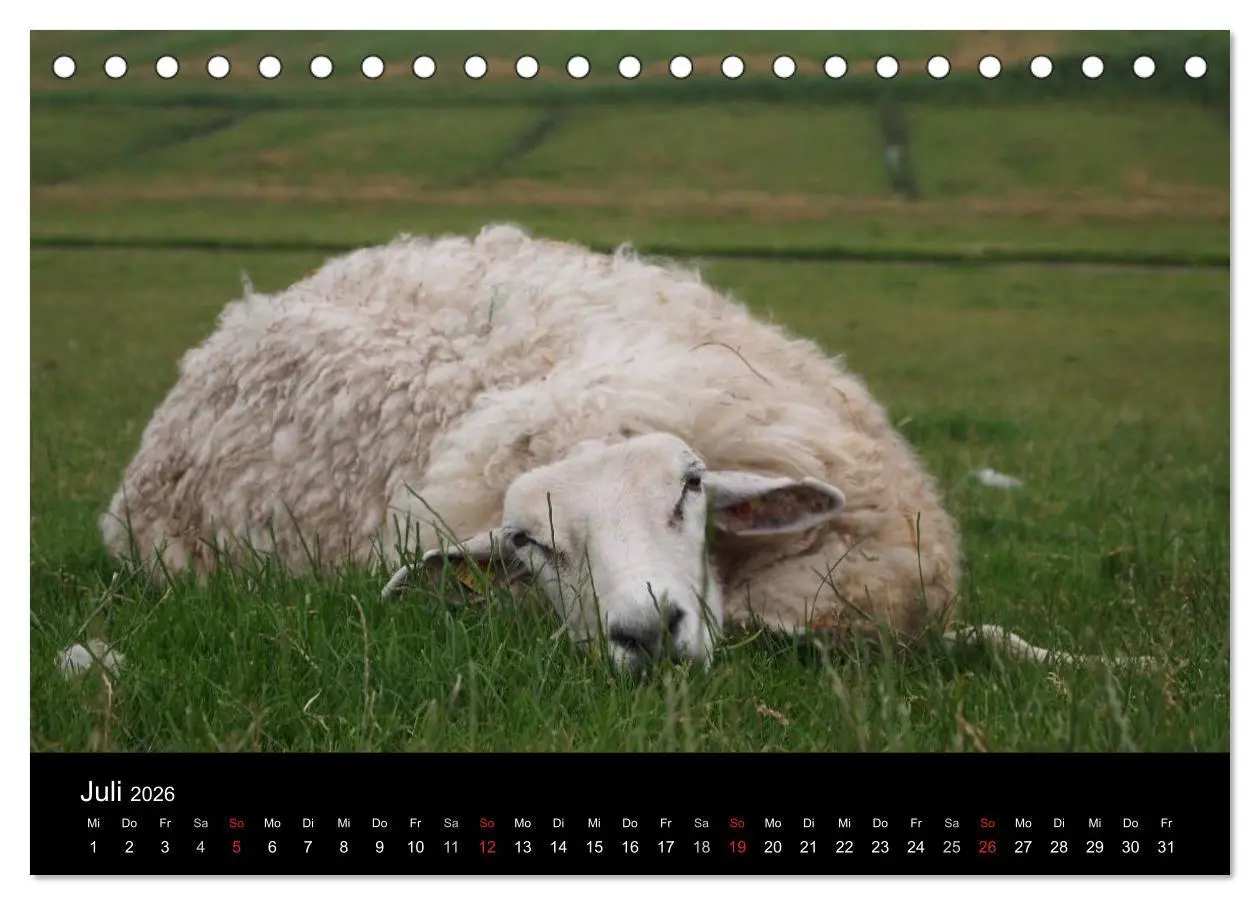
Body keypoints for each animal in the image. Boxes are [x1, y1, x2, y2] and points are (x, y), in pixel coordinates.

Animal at [102, 223, 1153, 673]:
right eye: (529, 544)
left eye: (691, 486)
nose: (647, 631)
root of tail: (242, 315)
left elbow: (996, 640)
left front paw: (1122, 667)